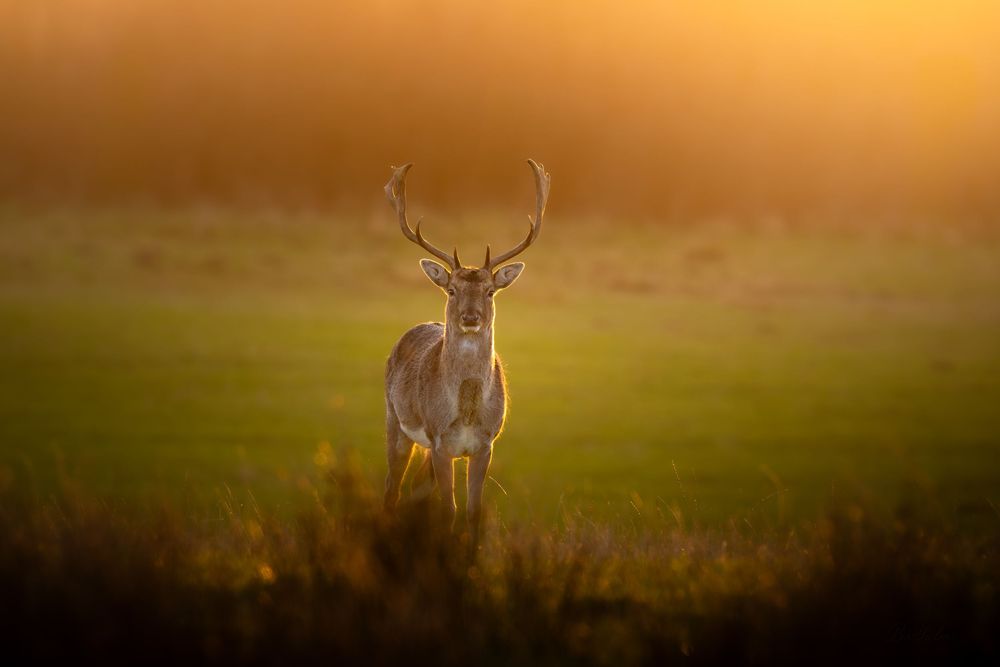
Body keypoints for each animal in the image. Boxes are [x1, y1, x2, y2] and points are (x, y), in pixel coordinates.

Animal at [381, 159, 550, 547]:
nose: (470, 317)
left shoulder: (486, 444)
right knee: (392, 491)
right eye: (452, 289)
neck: (468, 412)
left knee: (414, 488)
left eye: (490, 291)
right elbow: (449, 511)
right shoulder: (441, 441)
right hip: (395, 422)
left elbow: (473, 512)